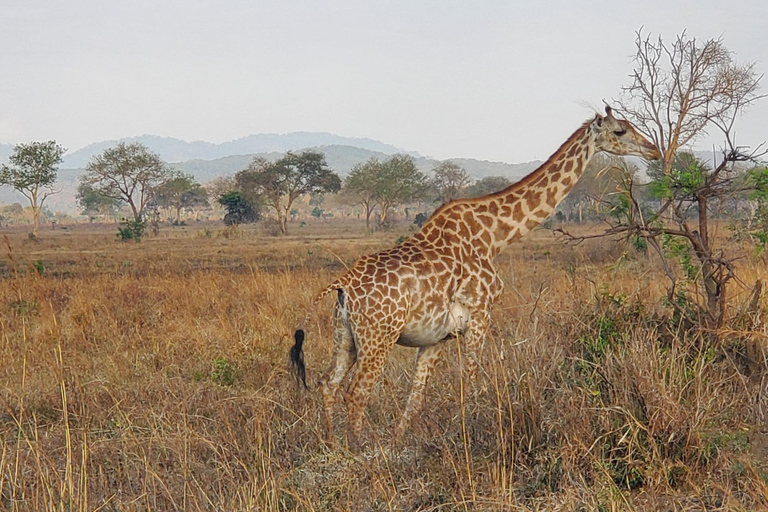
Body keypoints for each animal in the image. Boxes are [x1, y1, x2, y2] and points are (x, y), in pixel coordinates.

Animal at [288, 106, 660, 446]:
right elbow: (472, 384)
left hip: (346, 336)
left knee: (328, 384)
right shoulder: (480, 315)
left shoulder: (436, 337)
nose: (654, 150)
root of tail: (342, 285)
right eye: (620, 130)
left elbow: (416, 399)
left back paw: (334, 447)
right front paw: (470, 437)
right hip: (379, 335)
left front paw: (399, 444)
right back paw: (360, 455)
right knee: (357, 392)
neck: (494, 236)